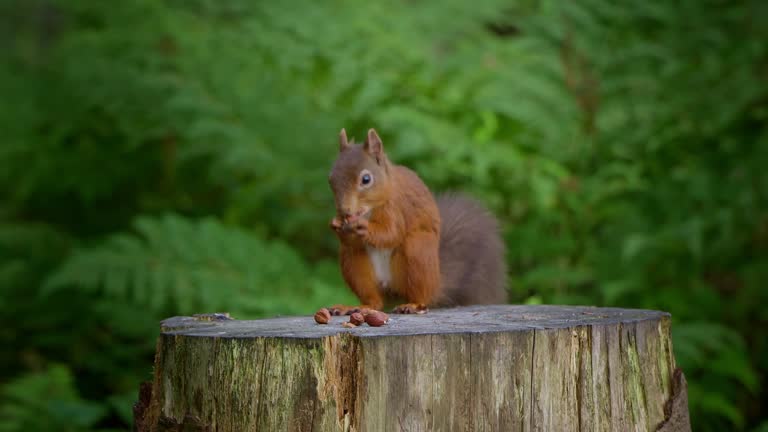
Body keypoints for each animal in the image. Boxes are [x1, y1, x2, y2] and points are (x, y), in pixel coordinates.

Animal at [328, 128, 508, 314]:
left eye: (366, 179)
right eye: (331, 179)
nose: (344, 210)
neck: (368, 210)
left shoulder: (397, 208)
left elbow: (391, 233)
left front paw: (363, 227)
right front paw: (336, 224)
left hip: (418, 252)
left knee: (421, 295)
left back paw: (412, 304)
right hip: (354, 263)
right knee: (374, 300)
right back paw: (358, 307)